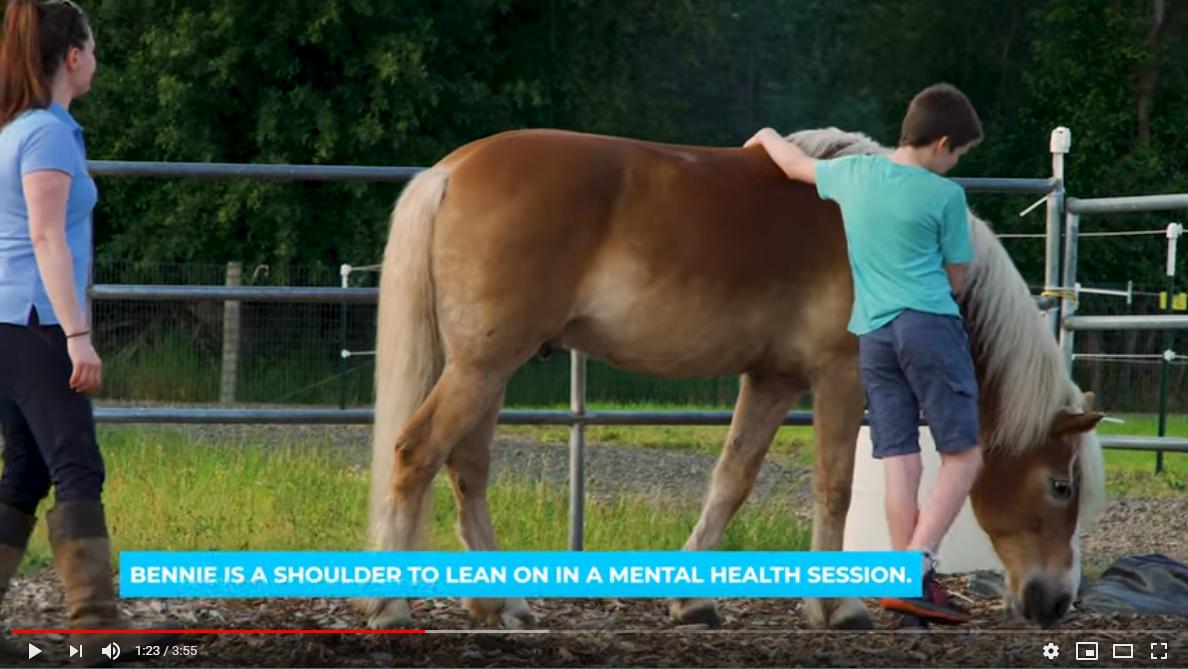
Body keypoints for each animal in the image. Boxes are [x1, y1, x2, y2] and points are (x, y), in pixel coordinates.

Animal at [357, 126, 1106, 631]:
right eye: (1060, 485)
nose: (1058, 600)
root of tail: (450, 171)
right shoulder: (840, 378)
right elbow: (833, 487)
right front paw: (836, 606)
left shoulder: (771, 380)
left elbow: (731, 480)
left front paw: (691, 598)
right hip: (483, 366)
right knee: (416, 453)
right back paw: (390, 604)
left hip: (487, 369)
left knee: (466, 468)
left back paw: (499, 602)